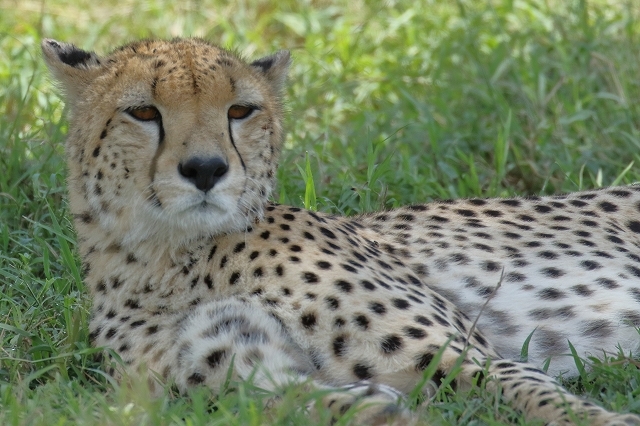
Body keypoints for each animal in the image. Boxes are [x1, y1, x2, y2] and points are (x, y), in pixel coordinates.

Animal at [42, 38, 640, 424]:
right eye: (143, 112)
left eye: (240, 110)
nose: (206, 169)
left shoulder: (464, 353)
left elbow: (541, 398)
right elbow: (289, 401)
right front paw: (376, 407)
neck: (173, 260)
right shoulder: (231, 377)